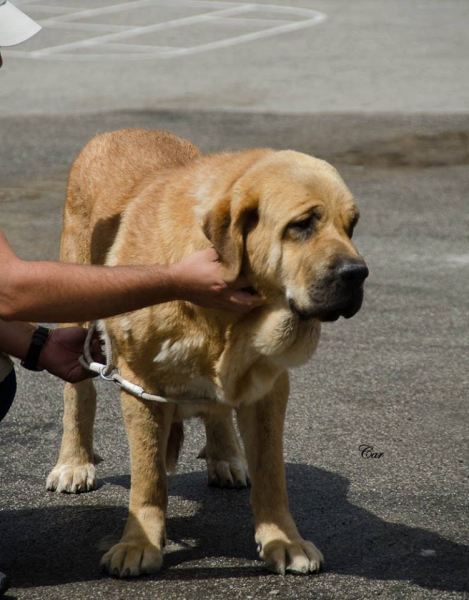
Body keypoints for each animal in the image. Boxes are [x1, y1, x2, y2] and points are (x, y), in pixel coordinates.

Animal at [46, 130, 370, 576]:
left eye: (351, 226)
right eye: (302, 225)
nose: (358, 274)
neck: (230, 319)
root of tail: (119, 132)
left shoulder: (269, 389)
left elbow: (271, 473)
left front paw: (284, 540)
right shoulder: (140, 386)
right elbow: (149, 476)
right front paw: (138, 544)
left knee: (218, 410)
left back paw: (226, 457)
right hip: (76, 313)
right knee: (78, 394)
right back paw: (74, 463)